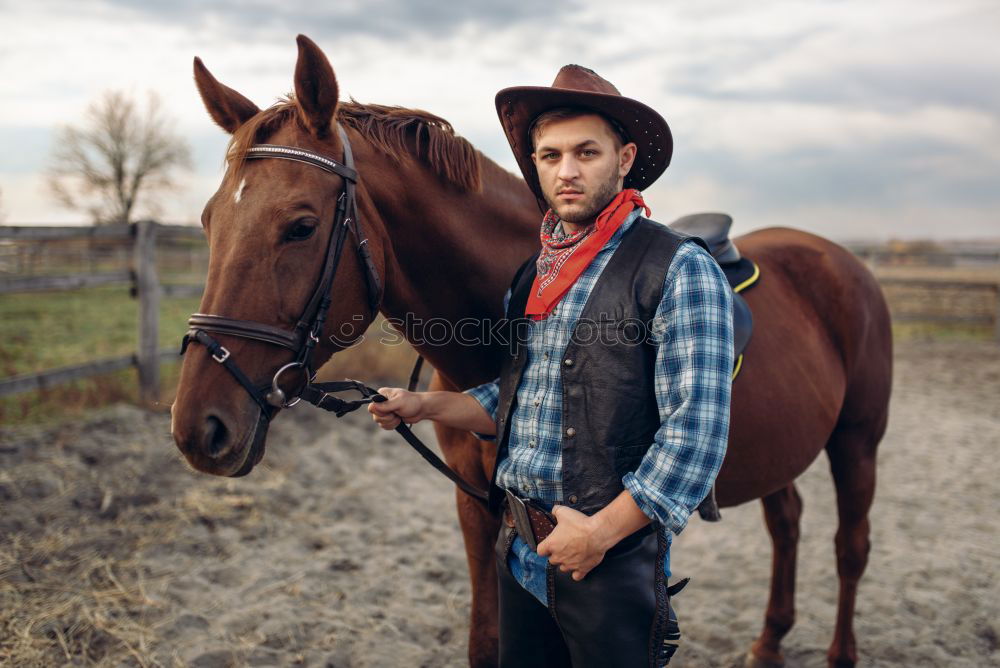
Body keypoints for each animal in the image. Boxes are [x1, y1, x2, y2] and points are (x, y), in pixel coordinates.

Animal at [172, 35, 892, 668]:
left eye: (300, 225)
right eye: (207, 222)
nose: (197, 428)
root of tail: (839, 260)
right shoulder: (477, 507)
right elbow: (486, 642)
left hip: (857, 439)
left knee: (850, 547)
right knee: (788, 523)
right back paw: (769, 643)